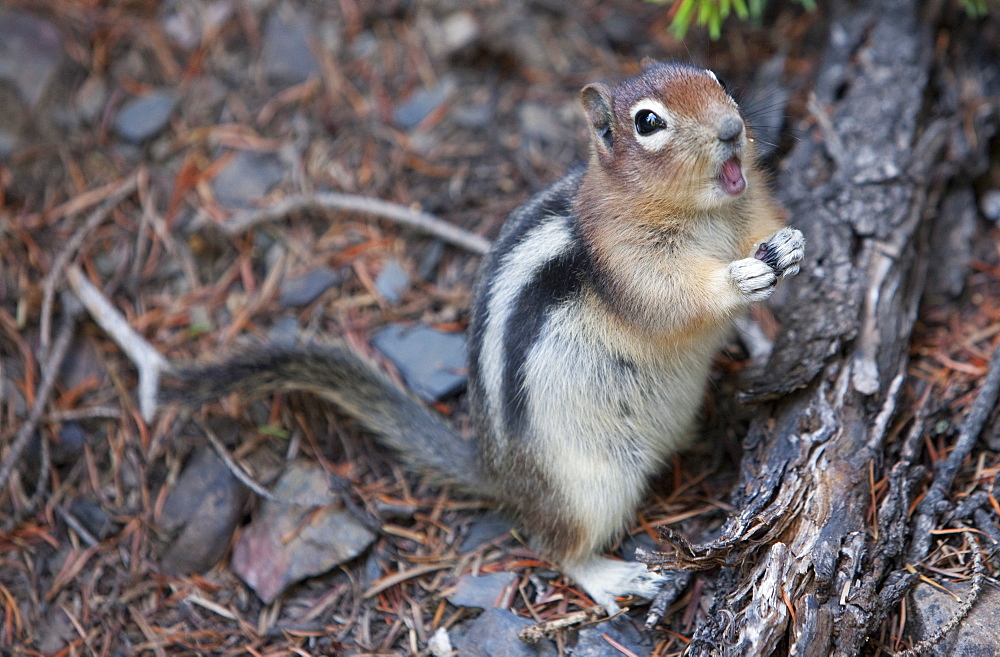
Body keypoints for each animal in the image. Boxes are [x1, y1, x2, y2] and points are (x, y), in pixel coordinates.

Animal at [166, 62, 804, 616]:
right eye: (648, 122)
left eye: (715, 78)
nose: (733, 128)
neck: (706, 216)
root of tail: (498, 473)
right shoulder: (632, 265)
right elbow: (675, 301)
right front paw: (738, 279)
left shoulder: (748, 211)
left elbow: (768, 226)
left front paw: (791, 245)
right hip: (589, 485)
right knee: (558, 546)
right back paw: (611, 575)